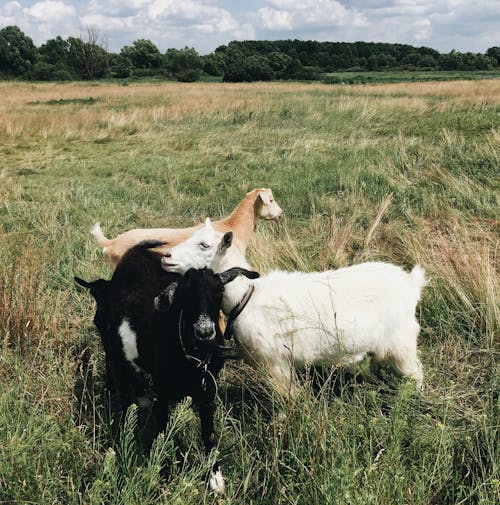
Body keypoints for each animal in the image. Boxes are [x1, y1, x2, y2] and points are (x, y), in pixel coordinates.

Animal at [77, 240, 262, 492]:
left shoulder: (208, 390)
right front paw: (162, 472)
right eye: (184, 296)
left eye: (219, 292)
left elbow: (209, 433)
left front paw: (215, 479)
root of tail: (135, 251)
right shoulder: (162, 391)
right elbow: (162, 430)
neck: (193, 357)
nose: (205, 332)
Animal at [162, 217, 428, 394]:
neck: (246, 296)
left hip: (402, 343)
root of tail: (411, 283)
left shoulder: (277, 366)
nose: (166, 256)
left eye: (204, 245)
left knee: (416, 373)